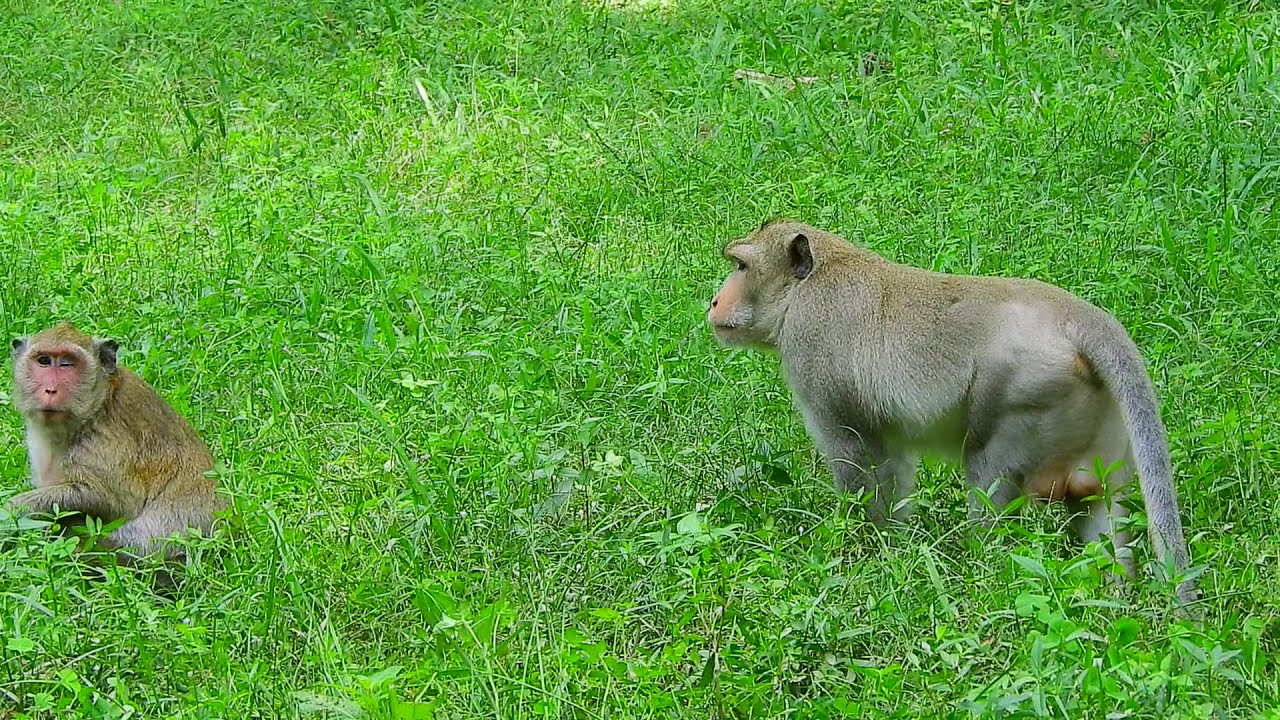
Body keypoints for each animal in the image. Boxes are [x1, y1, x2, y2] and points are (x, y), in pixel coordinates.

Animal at [5, 321, 226, 570]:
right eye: (43, 361)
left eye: (67, 363)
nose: (50, 389)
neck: (95, 408)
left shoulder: (104, 443)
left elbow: (111, 501)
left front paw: (11, 511)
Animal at [707, 219, 1197, 606]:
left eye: (741, 266)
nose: (714, 301)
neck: (806, 287)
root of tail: (1077, 316)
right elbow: (892, 462)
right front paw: (894, 551)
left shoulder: (813, 350)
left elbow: (857, 457)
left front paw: (858, 555)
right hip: (1100, 418)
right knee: (1096, 502)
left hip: (1026, 393)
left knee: (988, 474)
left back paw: (988, 575)